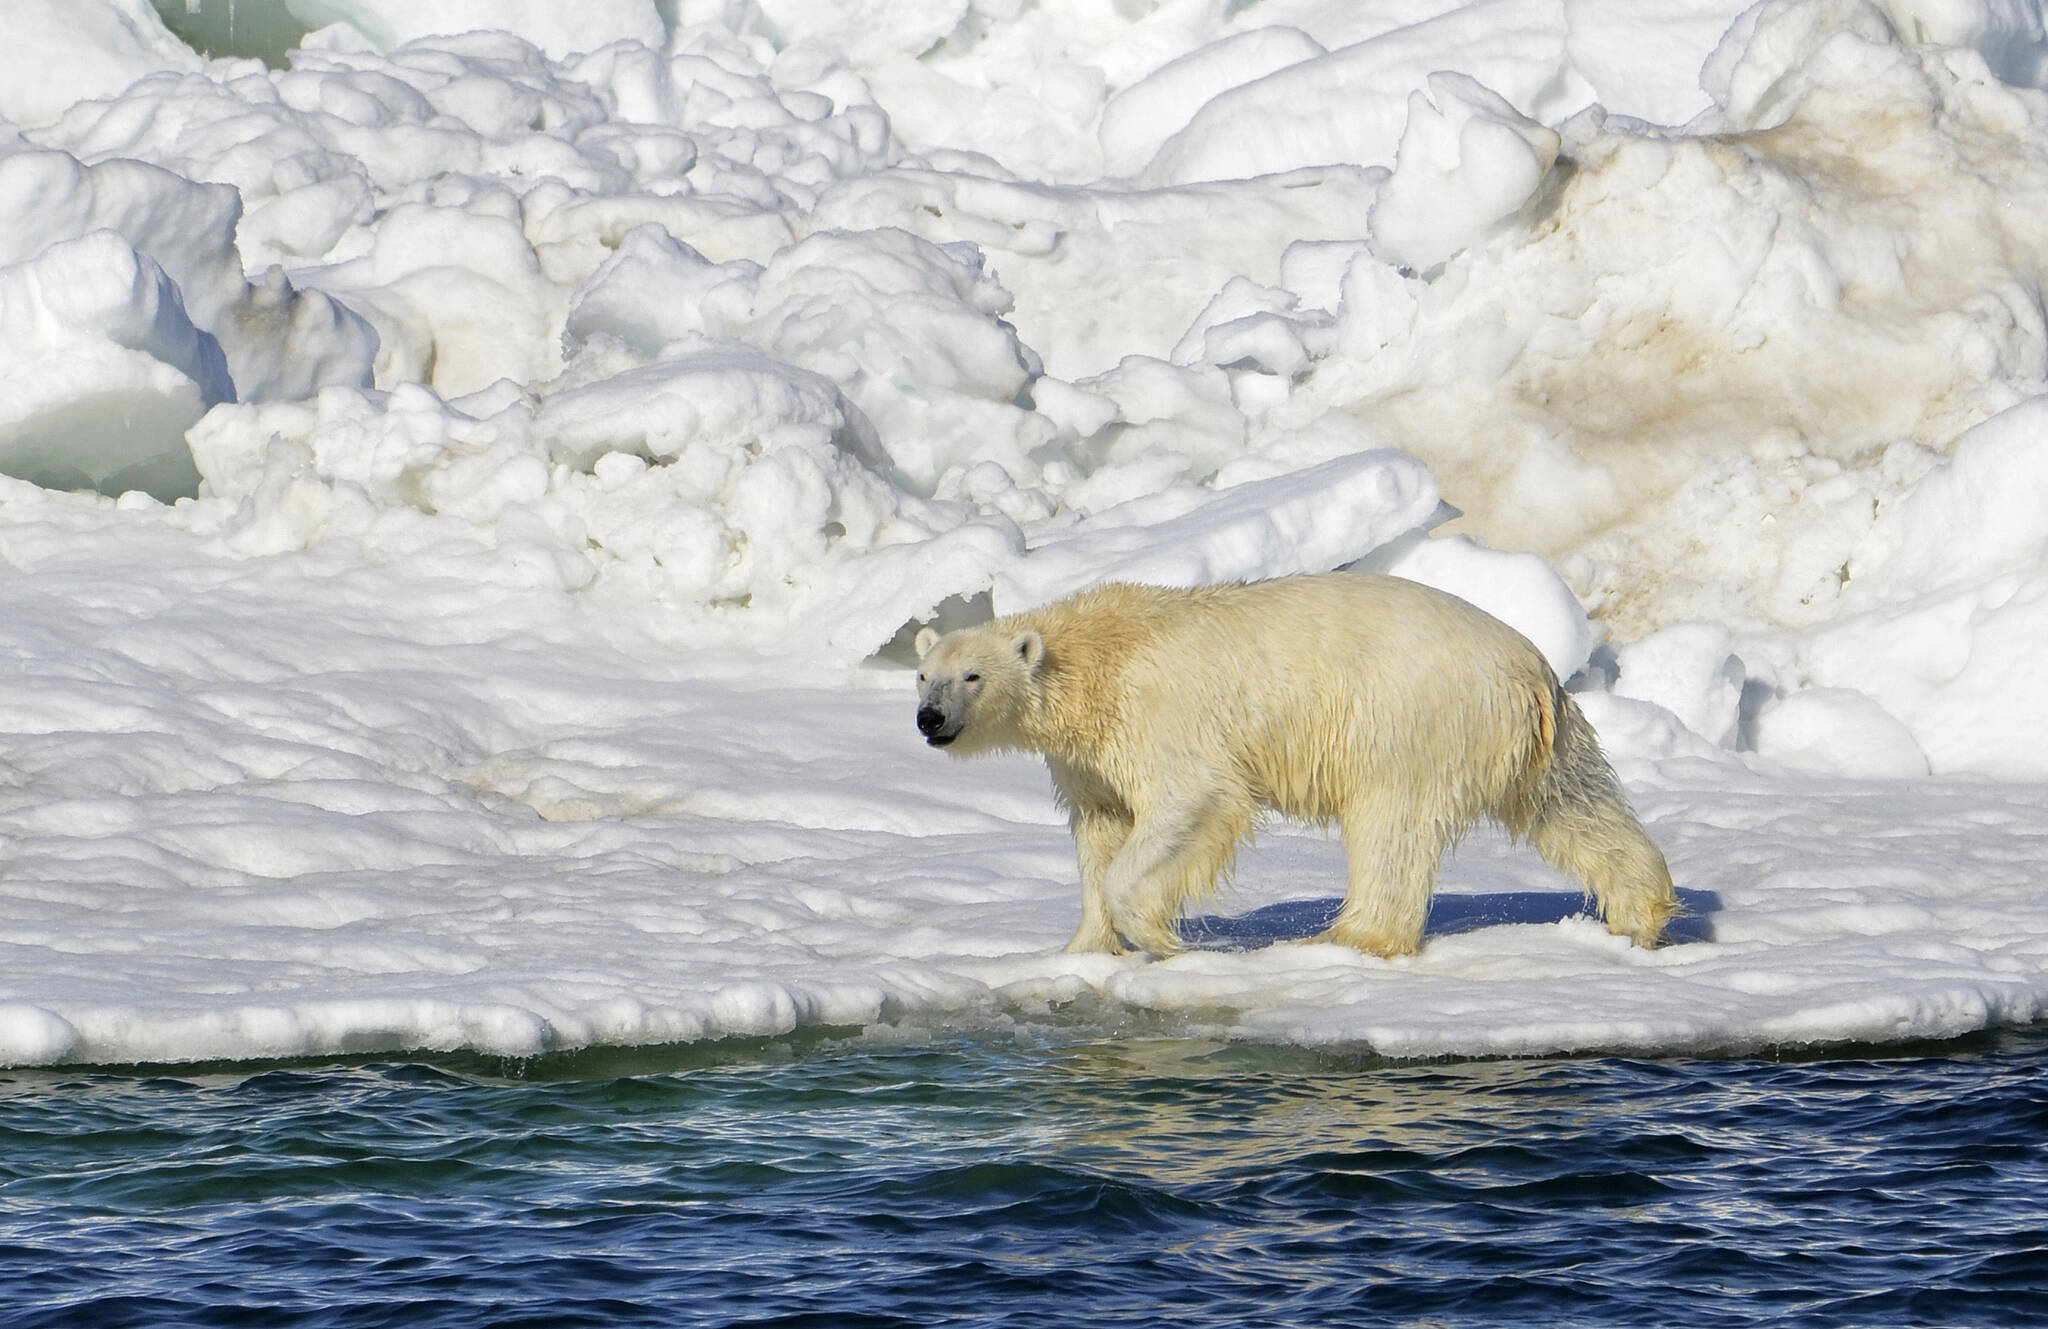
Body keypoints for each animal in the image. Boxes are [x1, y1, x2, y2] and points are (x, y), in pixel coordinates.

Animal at [921, 569, 1671, 954]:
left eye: (972, 677)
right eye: (926, 675)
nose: (930, 719)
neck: (1098, 658)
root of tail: (1529, 669)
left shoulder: (1159, 717)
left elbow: (1192, 801)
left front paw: (1159, 937)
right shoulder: (1089, 757)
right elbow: (1100, 828)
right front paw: (1081, 949)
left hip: (1409, 719)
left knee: (1391, 826)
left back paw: (1349, 936)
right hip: (1540, 736)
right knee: (1575, 807)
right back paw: (1641, 913)